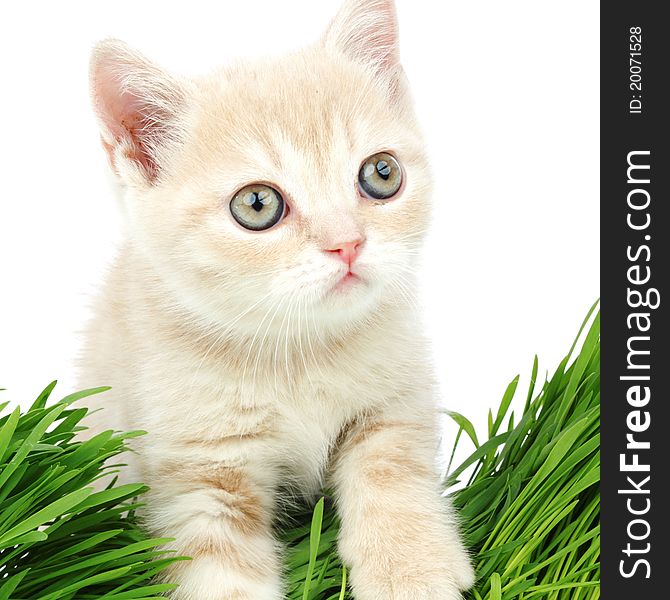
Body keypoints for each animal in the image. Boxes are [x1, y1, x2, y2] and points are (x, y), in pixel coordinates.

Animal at [79, 1, 476, 600]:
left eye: (382, 173)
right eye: (257, 204)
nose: (347, 243)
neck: (297, 352)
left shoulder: (395, 404)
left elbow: (392, 475)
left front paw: (411, 569)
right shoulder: (197, 481)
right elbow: (221, 575)